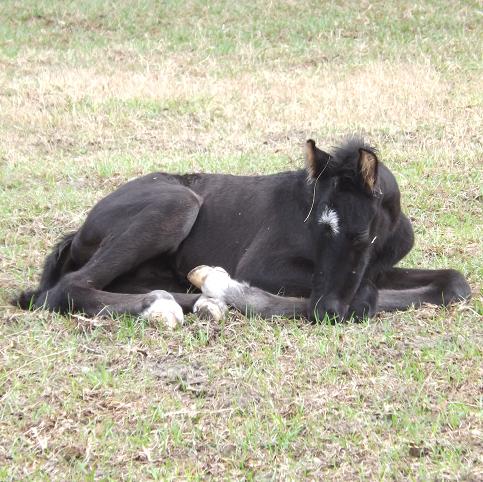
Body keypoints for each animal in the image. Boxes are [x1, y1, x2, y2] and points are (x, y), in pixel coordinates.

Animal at [13, 136, 470, 326]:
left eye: (358, 236)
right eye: (315, 226)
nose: (326, 312)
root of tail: (78, 234)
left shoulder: (376, 266)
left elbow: (454, 284)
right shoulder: (263, 266)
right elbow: (361, 298)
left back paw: (200, 300)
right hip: (176, 204)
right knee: (67, 288)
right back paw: (171, 304)